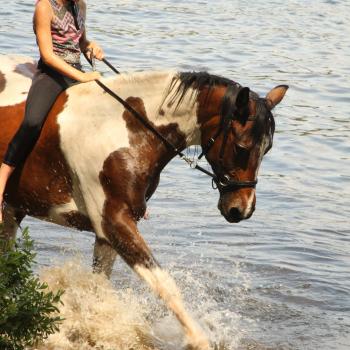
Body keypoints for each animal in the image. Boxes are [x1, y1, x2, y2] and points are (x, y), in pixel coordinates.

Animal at [0, 54, 288, 348]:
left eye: (267, 149)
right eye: (242, 148)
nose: (242, 209)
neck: (122, 128)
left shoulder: (108, 233)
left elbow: (99, 287)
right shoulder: (115, 223)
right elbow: (166, 286)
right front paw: (198, 340)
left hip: (14, 207)